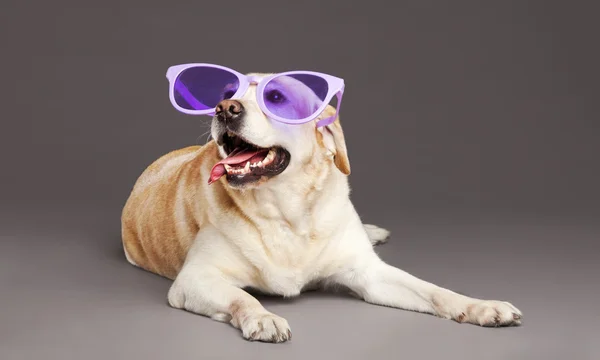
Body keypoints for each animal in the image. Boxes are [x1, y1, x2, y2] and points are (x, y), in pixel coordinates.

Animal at [120, 71, 520, 344]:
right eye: (226, 94)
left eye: (275, 97)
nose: (224, 108)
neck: (287, 214)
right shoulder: (194, 279)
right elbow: (240, 296)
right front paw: (262, 317)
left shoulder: (369, 274)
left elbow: (435, 291)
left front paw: (482, 306)